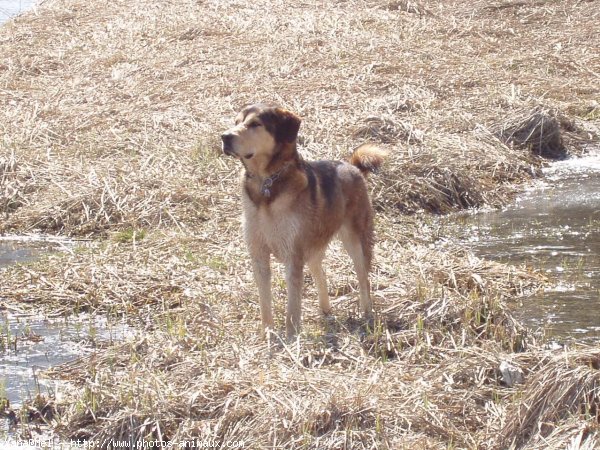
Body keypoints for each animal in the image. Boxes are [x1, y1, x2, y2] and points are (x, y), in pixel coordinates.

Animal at [219, 104, 384, 338]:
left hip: (356, 241)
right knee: (320, 272)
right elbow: (264, 301)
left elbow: (293, 303)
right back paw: (325, 309)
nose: (225, 137)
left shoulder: (293, 255)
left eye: (255, 124)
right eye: (235, 122)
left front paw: (291, 336)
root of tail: (353, 167)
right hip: (314, 244)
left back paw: (366, 314)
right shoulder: (258, 254)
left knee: (364, 279)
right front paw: (267, 333)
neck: (266, 184)